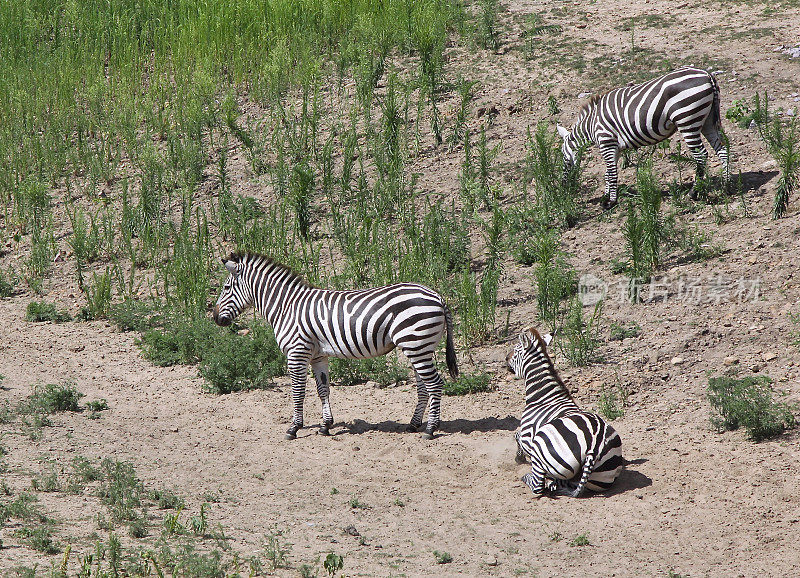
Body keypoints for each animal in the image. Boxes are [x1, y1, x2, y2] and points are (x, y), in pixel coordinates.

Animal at [209, 251, 460, 436]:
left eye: (226, 288)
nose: (215, 318)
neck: (286, 307)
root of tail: (438, 296)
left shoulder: (297, 352)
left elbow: (298, 391)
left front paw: (294, 428)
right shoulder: (318, 356)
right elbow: (323, 389)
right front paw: (325, 426)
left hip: (417, 344)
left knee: (435, 384)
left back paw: (430, 429)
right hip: (419, 346)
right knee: (423, 386)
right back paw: (413, 424)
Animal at [506, 326, 624, 498]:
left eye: (515, 350)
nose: (505, 359)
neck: (545, 397)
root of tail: (594, 447)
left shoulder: (528, 436)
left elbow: (517, 435)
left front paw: (518, 457)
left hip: (540, 447)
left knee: (538, 486)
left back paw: (527, 477)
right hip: (598, 477)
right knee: (562, 484)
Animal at [560, 66, 728, 208]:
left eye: (564, 159)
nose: (563, 188)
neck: (591, 124)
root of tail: (707, 74)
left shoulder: (607, 142)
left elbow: (612, 173)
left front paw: (611, 202)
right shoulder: (615, 148)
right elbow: (608, 174)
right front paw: (606, 197)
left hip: (687, 119)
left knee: (702, 155)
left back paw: (694, 192)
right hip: (707, 120)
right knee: (722, 149)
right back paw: (726, 184)